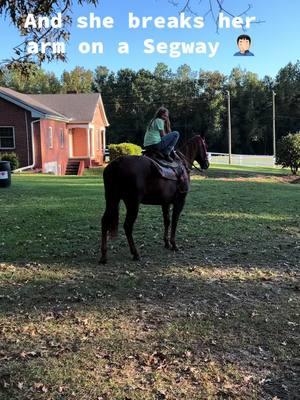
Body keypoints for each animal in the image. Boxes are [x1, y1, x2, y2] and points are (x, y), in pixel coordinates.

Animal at [99, 136, 210, 264]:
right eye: (204, 146)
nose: (207, 164)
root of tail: (117, 164)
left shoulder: (165, 203)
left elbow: (167, 221)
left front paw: (166, 243)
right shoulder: (179, 202)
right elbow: (175, 221)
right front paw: (174, 245)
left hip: (112, 199)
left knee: (105, 221)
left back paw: (103, 255)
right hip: (132, 203)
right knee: (127, 226)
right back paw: (135, 253)